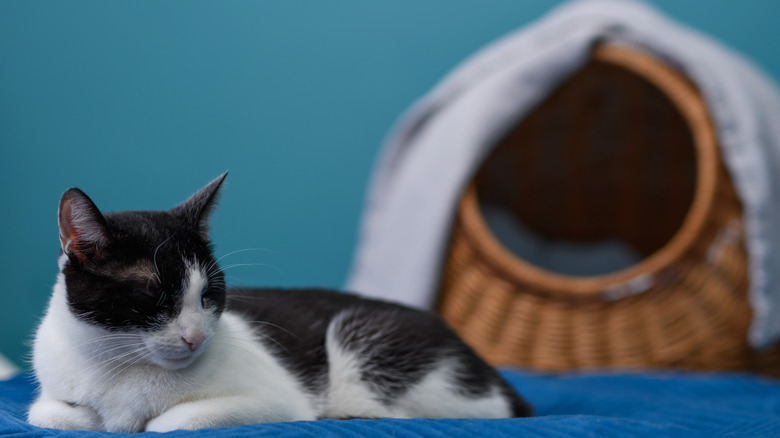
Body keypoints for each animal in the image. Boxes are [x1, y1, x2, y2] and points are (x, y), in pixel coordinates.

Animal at [27, 173, 532, 432]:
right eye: (155, 294)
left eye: (209, 294)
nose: (195, 338)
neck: (123, 367)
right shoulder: (53, 394)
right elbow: (52, 414)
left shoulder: (276, 401)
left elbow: (172, 422)